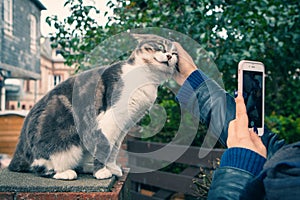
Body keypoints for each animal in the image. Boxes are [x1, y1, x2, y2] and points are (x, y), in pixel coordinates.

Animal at [7, 33, 178, 180]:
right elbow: (105, 146)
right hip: (64, 143)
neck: (146, 79)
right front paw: (102, 172)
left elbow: (114, 149)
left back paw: (86, 168)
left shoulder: (123, 126)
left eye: (174, 53)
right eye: (161, 47)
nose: (170, 56)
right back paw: (65, 172)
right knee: (40, 166)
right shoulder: (110, 120)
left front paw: (112, 168)